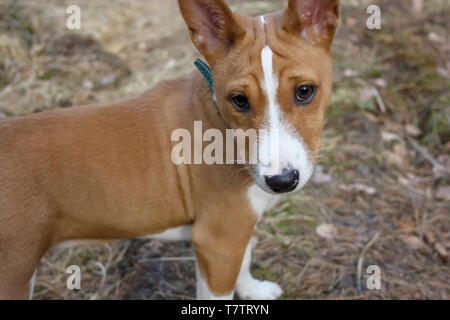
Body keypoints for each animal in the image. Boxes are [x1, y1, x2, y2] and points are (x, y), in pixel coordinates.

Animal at [0, 0, 338, 300]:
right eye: (239, 100)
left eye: (304, 91)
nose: (282, 181)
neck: (219, 122)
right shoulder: (217, 239)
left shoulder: (233, 232)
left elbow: (245, 260)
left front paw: (253, 290)